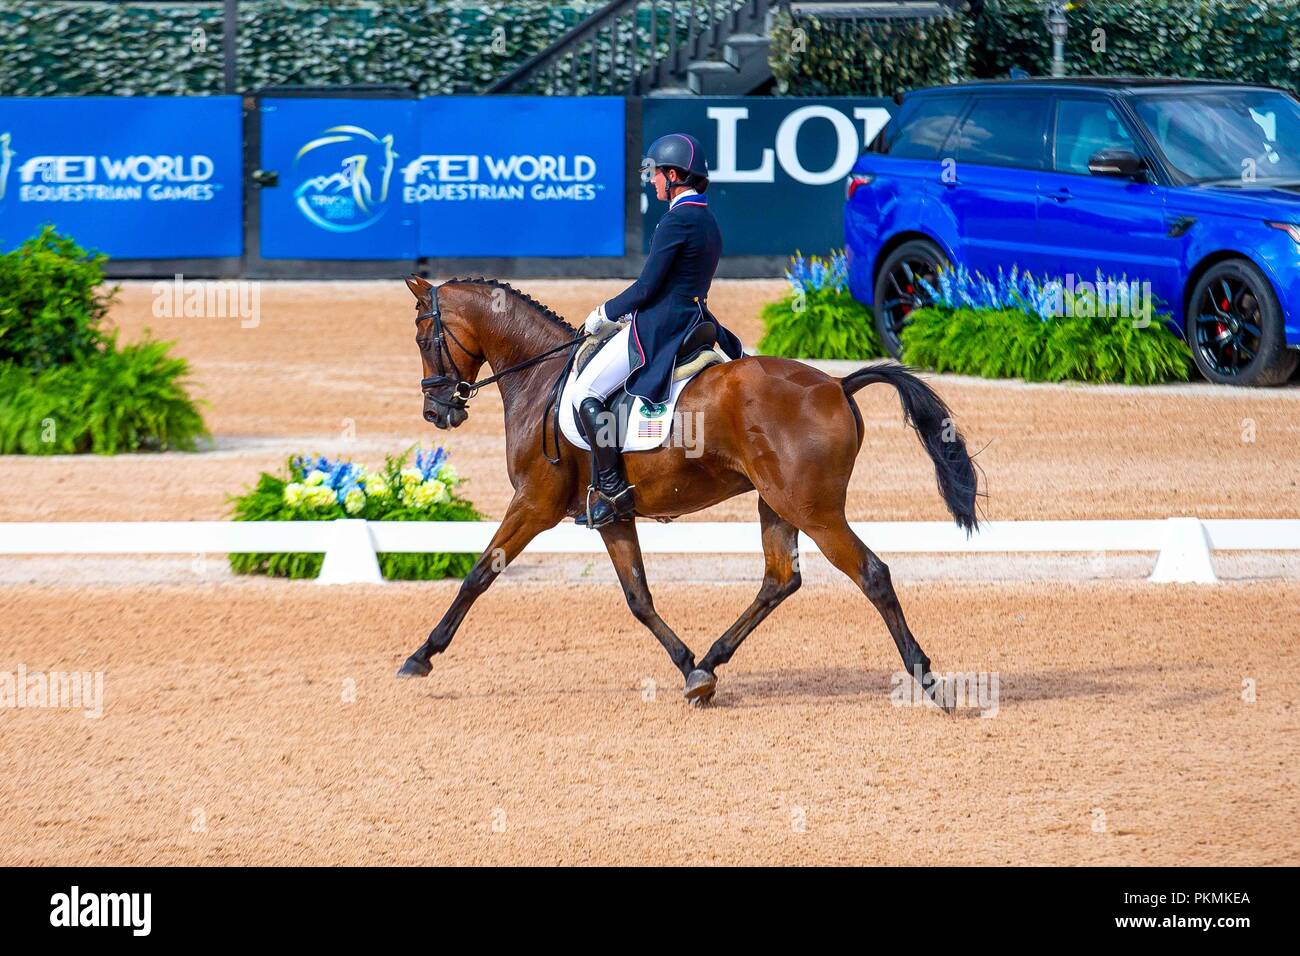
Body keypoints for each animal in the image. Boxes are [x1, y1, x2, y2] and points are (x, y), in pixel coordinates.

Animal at [395, 273, 977, 707]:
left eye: (424, 338)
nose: (436, 412)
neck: (540, 377)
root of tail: (837, 383)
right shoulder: (611, 515)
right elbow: (638, 598)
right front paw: (690, 669)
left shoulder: (534, 504)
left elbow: (478, 574)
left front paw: (420, 656)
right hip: (777, 503)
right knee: (779, 580)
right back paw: (713, 661)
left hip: (814, 510)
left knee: (871, 573)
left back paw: (926, 679)